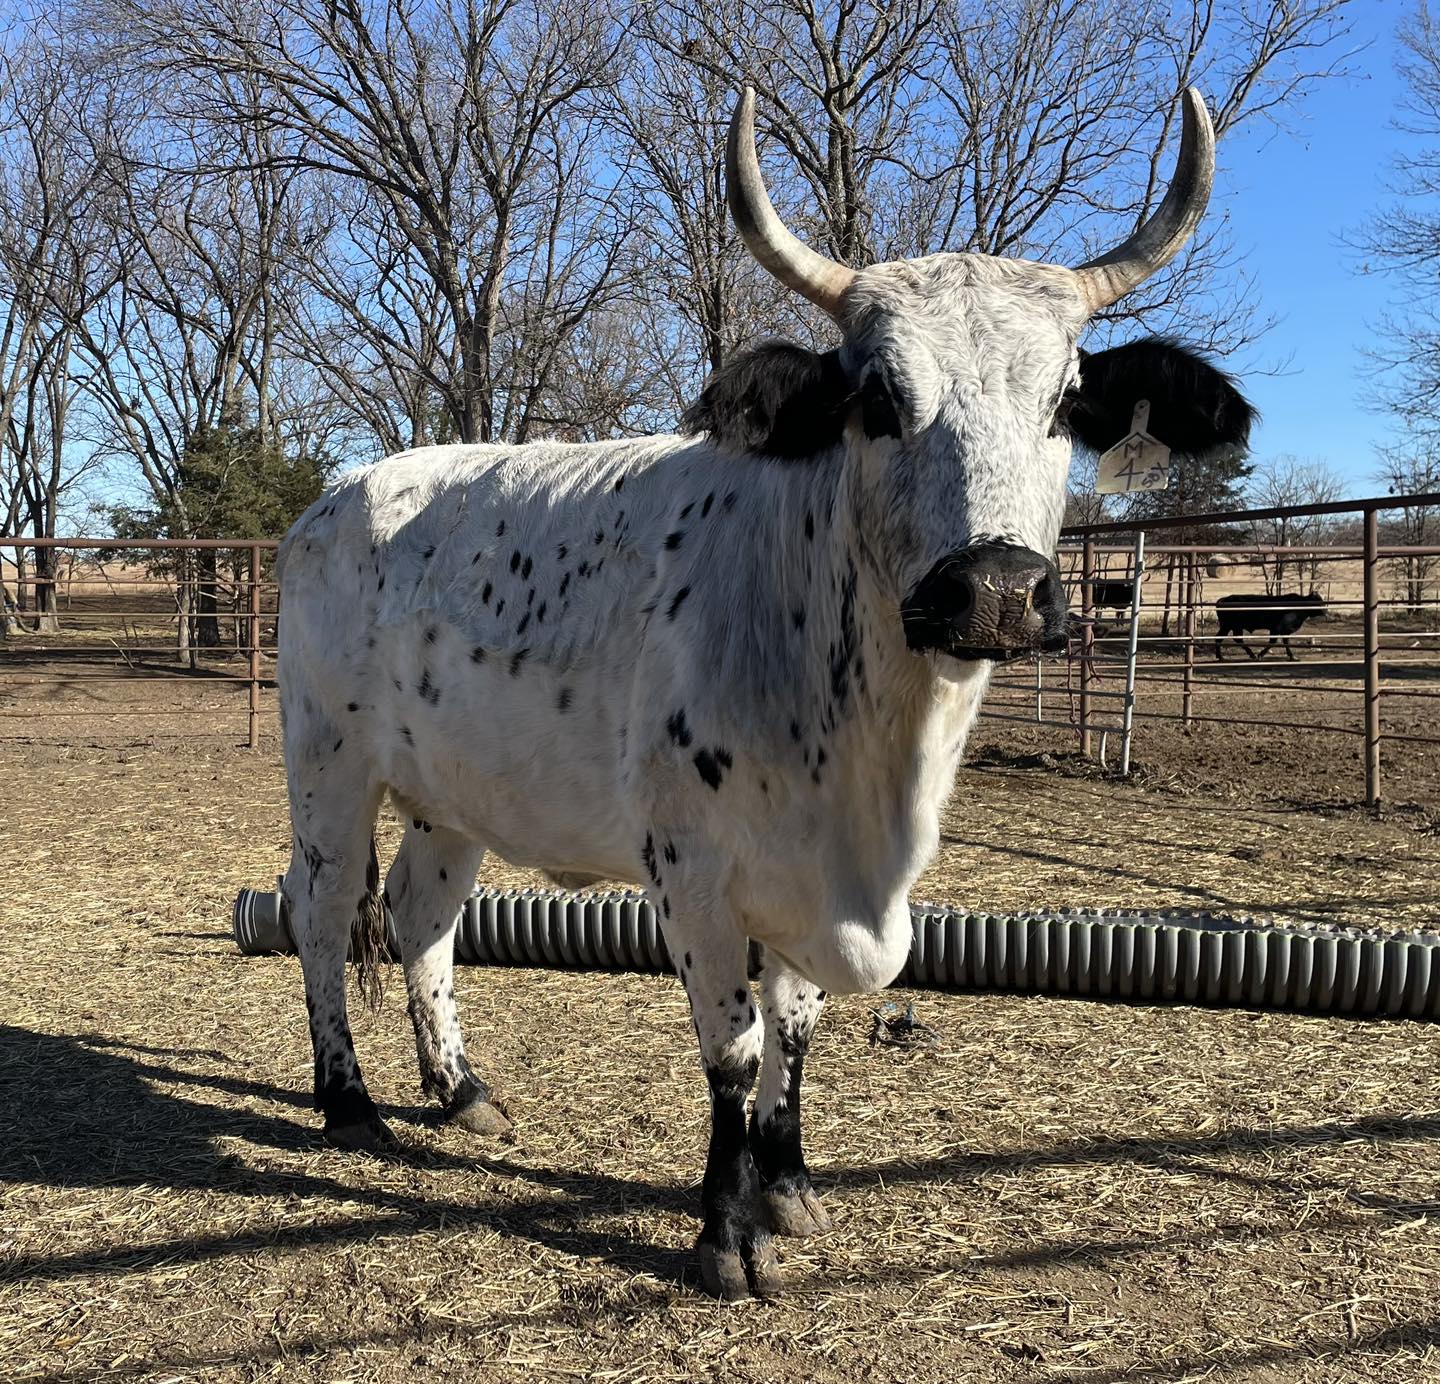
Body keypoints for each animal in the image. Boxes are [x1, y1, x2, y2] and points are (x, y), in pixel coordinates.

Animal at [275, 87, 1254, 1300]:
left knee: (423, 918)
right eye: (877, 398)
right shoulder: (693, 874)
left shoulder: (809, 880)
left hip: (452, 798)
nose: (991, 589)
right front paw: (725, 1231)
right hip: (326, 769)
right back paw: (348, 1100)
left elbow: (795, 1029)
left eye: (1068, 402)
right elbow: (733, 1048)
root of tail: (344, 493)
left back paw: (459, 1088)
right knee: (318, 912)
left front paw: (788, 1184)